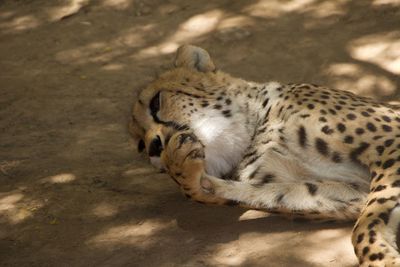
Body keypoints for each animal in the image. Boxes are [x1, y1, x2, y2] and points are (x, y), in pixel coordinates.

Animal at [130, 45, 400, 266]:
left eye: (156, 102)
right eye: (140, 145)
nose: (154, 148)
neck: (254, 129)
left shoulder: (390, 145)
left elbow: (367, 222)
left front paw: (382, 259)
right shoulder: (349, 193)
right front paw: (181, 169)